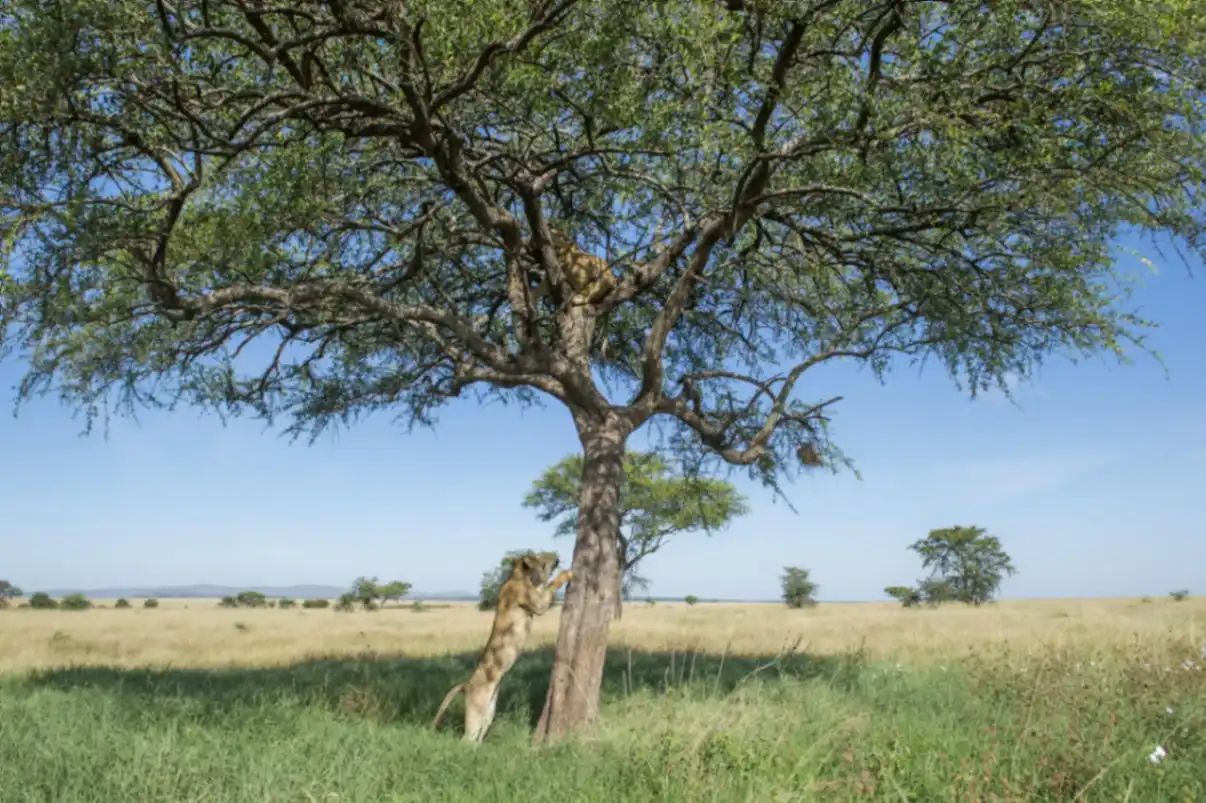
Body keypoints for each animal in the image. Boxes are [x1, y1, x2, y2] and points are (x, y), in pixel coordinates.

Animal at [431, 551, 573, 744]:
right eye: (542, 559)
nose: (557, 556)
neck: (518, 576)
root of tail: (466, 684)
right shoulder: (538, 603)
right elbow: (550, 584)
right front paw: (568, 573)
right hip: (476, 711)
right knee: (467, 738)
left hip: (489, 712)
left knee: (479, 735)